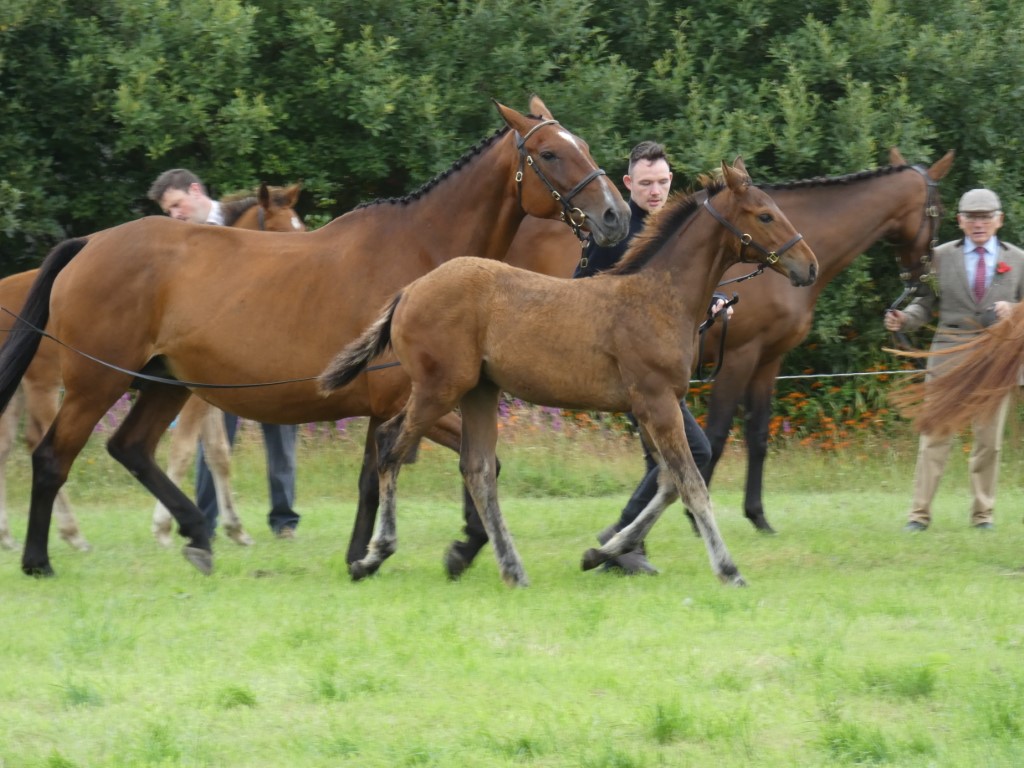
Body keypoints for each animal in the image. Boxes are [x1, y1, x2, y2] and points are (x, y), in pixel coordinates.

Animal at [0, 182, 304, 552]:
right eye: (278, 231)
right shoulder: (193, 396)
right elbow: (184, 451)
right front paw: (164, 527)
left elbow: (218, 454)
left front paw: (234, 528)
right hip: (53, 386)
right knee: (43, 445)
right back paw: (72, 533)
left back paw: (11, 536)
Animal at [318, 157, 818, 588]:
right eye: (765, 215)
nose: (809, 265)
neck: (660, 296)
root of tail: (409, 291)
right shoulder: (656, 401)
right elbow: (691, 484)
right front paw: (729, 570)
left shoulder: (654, 406)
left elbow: (668, 482)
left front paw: (601, 553)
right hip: (438, 388)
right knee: (390, 447)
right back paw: (373, 555)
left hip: (479, 391)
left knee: (477, 469)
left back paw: (511, 569)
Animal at [504, 148, 954, 534]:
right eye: (937, 210)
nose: (923, 281)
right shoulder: (740, 355)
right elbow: (717, 435)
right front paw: (692, 514)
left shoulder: (769, 359)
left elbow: (757, 436)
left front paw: (758, 516)